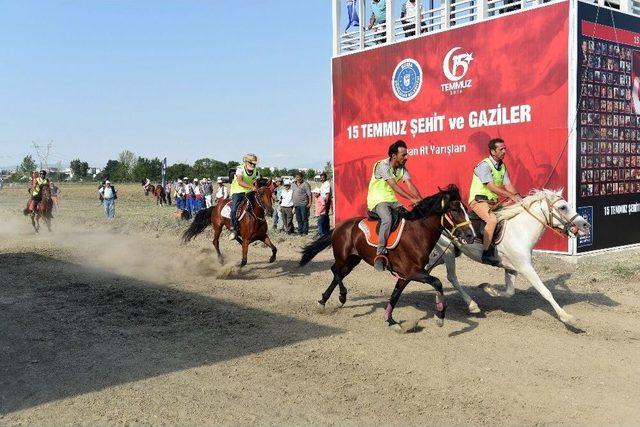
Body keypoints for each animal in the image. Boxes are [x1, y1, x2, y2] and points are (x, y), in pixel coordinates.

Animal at [300, 185, 476, 332]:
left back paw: (324, 301)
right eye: (455, 209)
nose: (471, 235)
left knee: (338, 274)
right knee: (335, 271)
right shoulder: (413, 272)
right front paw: (440, 315)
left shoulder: (406, 276)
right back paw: (341, 295)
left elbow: (395, 295)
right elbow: (438, 282)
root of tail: (339, 226)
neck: (417, 234)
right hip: (343, 257)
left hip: (353, 260)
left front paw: (390, 320)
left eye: (465, 208)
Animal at [428, 191, 592, 328]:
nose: (585, 224)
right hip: (447, 252)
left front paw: (488, 288)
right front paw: (567, 317)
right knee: (451, 277)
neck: (521, 230)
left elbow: (509, 292)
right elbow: (545, 291)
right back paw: (471, 305)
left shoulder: (511, 268)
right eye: (563, 207)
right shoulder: (526, 267)